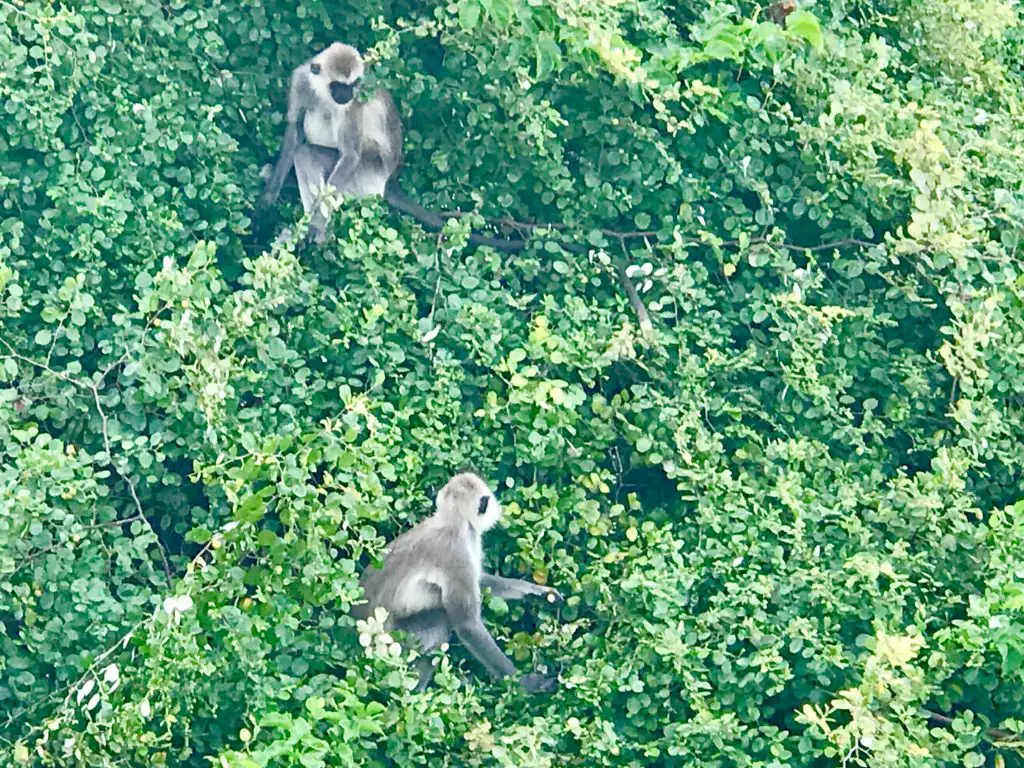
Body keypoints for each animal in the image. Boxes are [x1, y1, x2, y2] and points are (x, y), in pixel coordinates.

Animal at [260, 41, 532, 250]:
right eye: (338, 86)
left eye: (353, 85)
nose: (347, 96)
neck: (324, 95)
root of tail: (389, 181)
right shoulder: (301, 81)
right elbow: (294, 130)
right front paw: (269, 197)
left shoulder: (354, 108)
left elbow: (350, 155)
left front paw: (316, 224)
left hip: (368, 176)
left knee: (309, 153)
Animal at [350, 473, 561, 696]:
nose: (496, 506)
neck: (450, 522)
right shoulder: (457, 552)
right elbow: (467, 625)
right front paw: (525, 684)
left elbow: (480, 580)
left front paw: (539, 593)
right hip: (396, 641)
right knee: (442, 620)